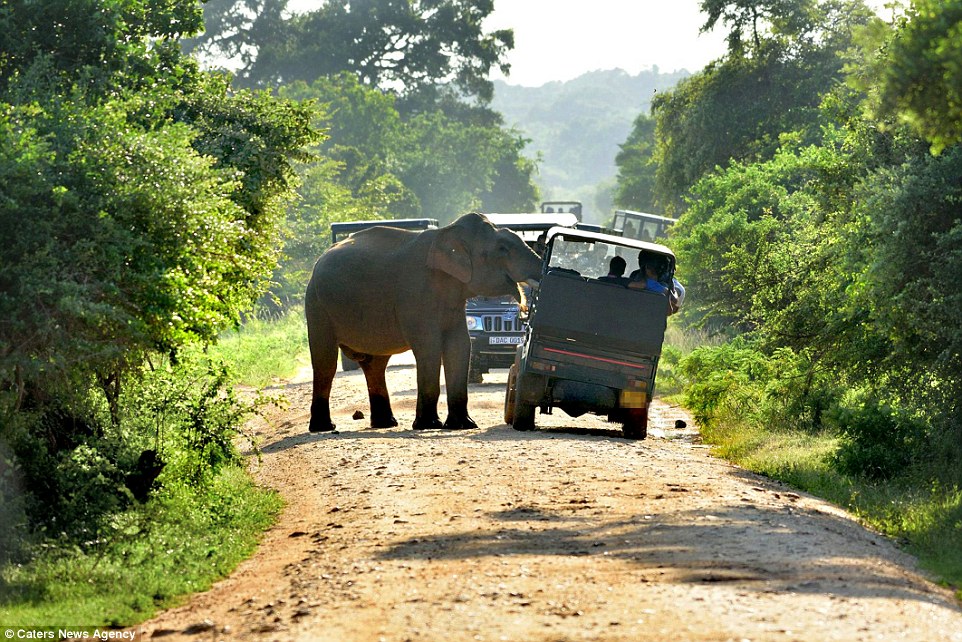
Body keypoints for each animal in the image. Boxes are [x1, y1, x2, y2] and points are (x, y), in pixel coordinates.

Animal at [304, 212, 544, 432]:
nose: (525, 309)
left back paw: (385, 424)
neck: (447, 232)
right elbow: (429, 346)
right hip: (316, 305)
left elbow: (460, 345)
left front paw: (463, 426)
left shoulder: (454, 303)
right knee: (326, 362)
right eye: (503, 249)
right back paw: (324, 427)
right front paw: (429, 425)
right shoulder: (416, 294)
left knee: (375, 364)